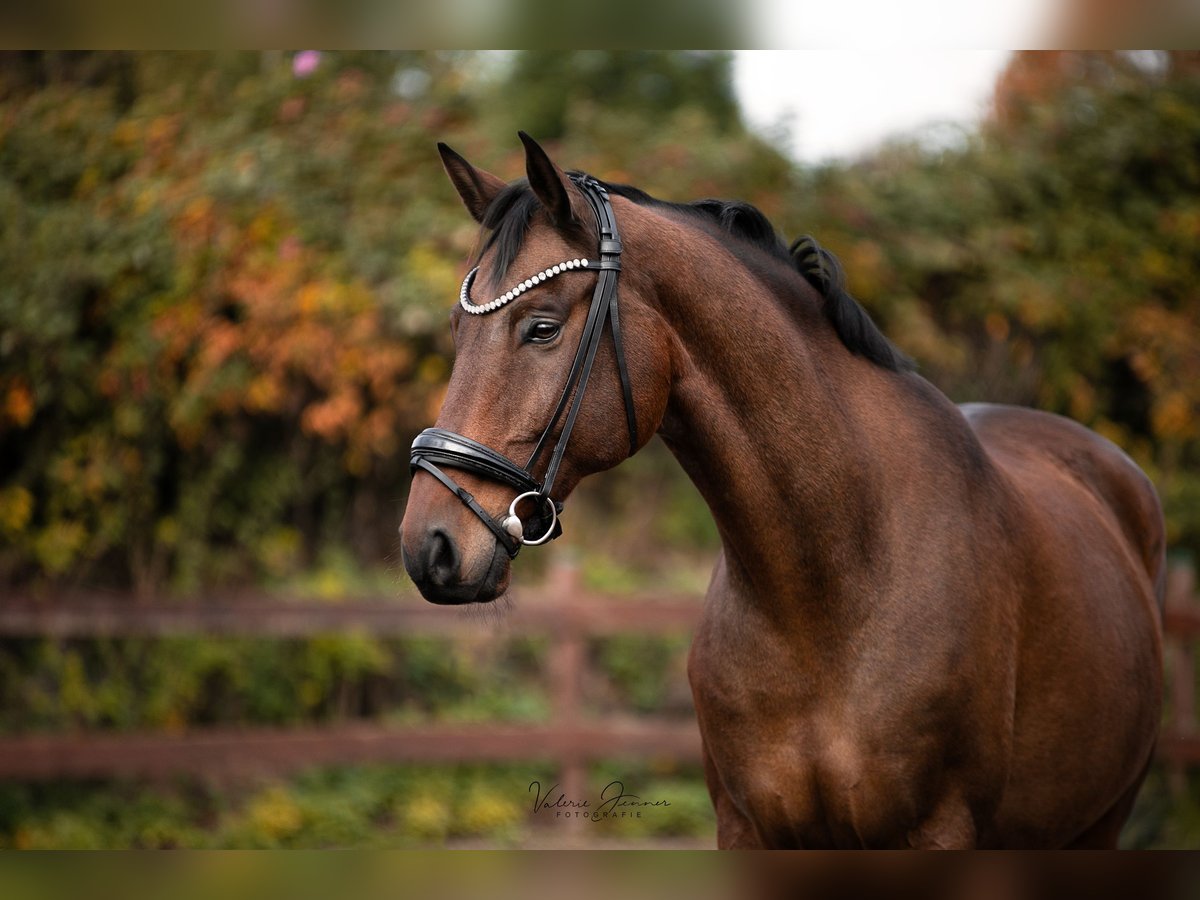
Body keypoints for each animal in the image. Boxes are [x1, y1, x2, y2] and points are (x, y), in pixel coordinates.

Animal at [400, 133, 1161, 854]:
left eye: (543, 327)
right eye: (456, 330)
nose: (427, 547)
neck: (826, 597)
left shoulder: (940, 829)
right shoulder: (747, 827)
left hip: (1101, 820)